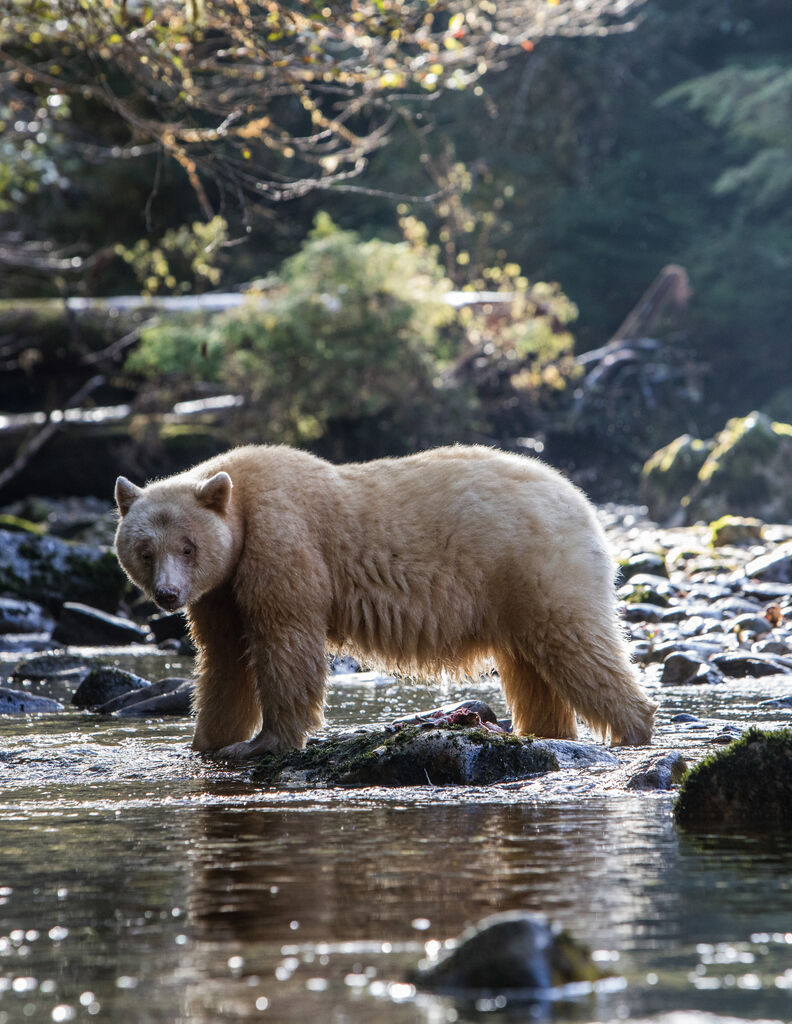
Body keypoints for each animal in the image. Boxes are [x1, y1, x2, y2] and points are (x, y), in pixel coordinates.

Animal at [112, 444, 655, 765]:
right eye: (144, 549)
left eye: (188, 546)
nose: (168, 594)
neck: (241, 502)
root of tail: (580, 500)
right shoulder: (220, 592)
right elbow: (224, 660)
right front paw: (208, 741)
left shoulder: (282, 544)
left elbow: (285, 643)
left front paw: (266, 740)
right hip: (513, 591)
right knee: (533, 669)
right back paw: (547, 733)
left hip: (533, 565)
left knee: (576, 645)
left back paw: (634, 728)